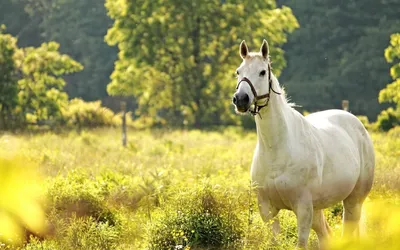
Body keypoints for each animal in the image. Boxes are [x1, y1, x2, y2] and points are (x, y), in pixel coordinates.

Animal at [231, 40, 376, 249]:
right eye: (238, 71)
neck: (277, 149)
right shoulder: (267, 210)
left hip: (353, 201)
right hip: (319, 209)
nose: (240, 99)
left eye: (262, 72)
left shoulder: (303, 208)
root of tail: (355, 122)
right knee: (326, 236)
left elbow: (301, 243)